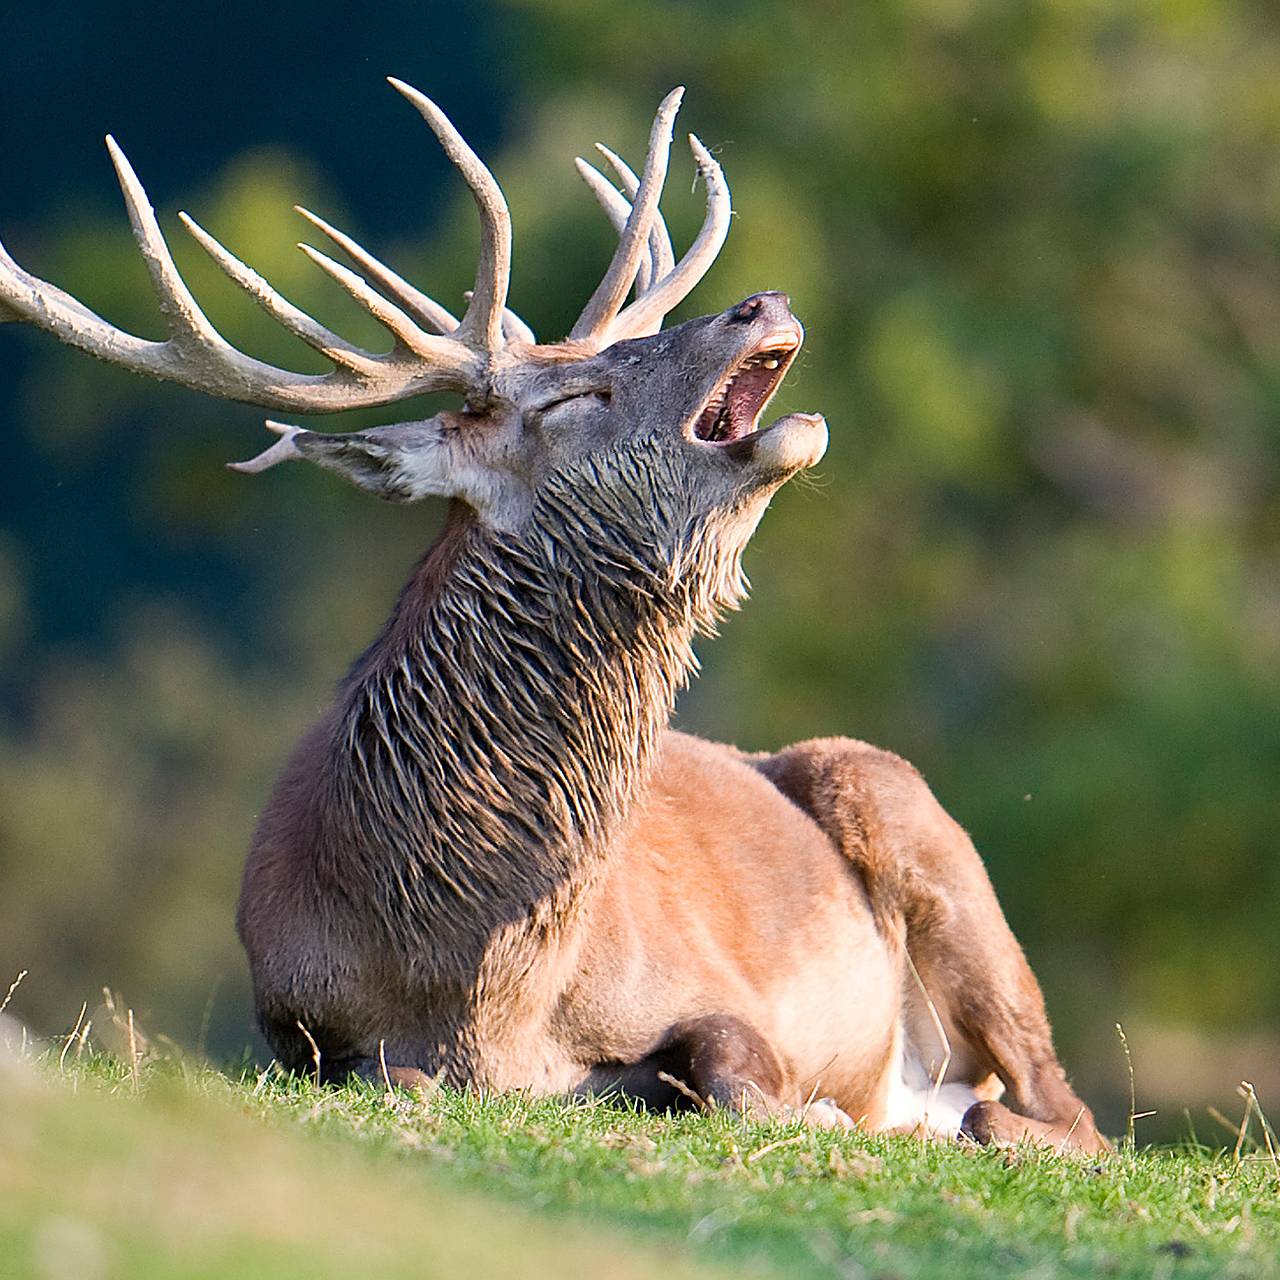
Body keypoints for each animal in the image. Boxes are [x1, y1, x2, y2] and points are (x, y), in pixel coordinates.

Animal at [0, 80, 1105, 1152]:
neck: (475, 991)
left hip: (911, 818)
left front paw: (814, 1109)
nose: (761, 301)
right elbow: (405, 1075)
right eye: (575, 395)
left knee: (1062, 1110)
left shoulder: (715, 985)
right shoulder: (302, 1029)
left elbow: (729, 1066)